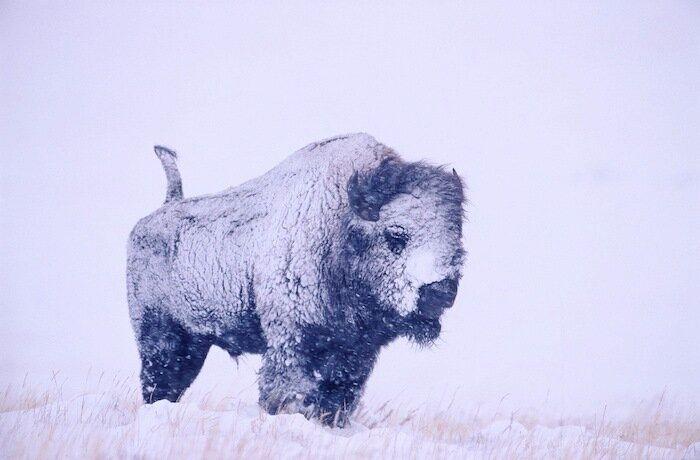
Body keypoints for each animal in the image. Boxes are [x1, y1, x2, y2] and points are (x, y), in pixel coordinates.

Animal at [127, 133, 466, 426]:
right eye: (396, 235)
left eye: (456, 238)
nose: (441, 291)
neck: (339, 228)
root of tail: (160, 211)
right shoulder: (290, 340)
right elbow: (290, 392)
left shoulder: (354, 355)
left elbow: (338, 398)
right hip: (162, 335)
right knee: (160, 380)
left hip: (196, 342)